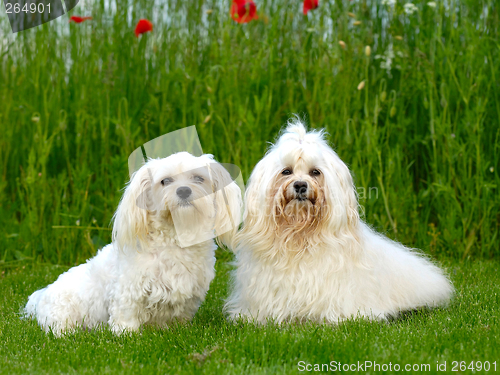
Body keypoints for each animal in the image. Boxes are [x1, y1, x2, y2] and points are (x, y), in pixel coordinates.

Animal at [25, 152, 242, 334]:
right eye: (165, 181)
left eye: (198, 178)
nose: (183, 191)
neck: (175, 239)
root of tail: (41, 296)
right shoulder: (129, 289)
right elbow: (126, 313)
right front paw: (126, 333)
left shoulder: (188, 294)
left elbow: (179, 314)